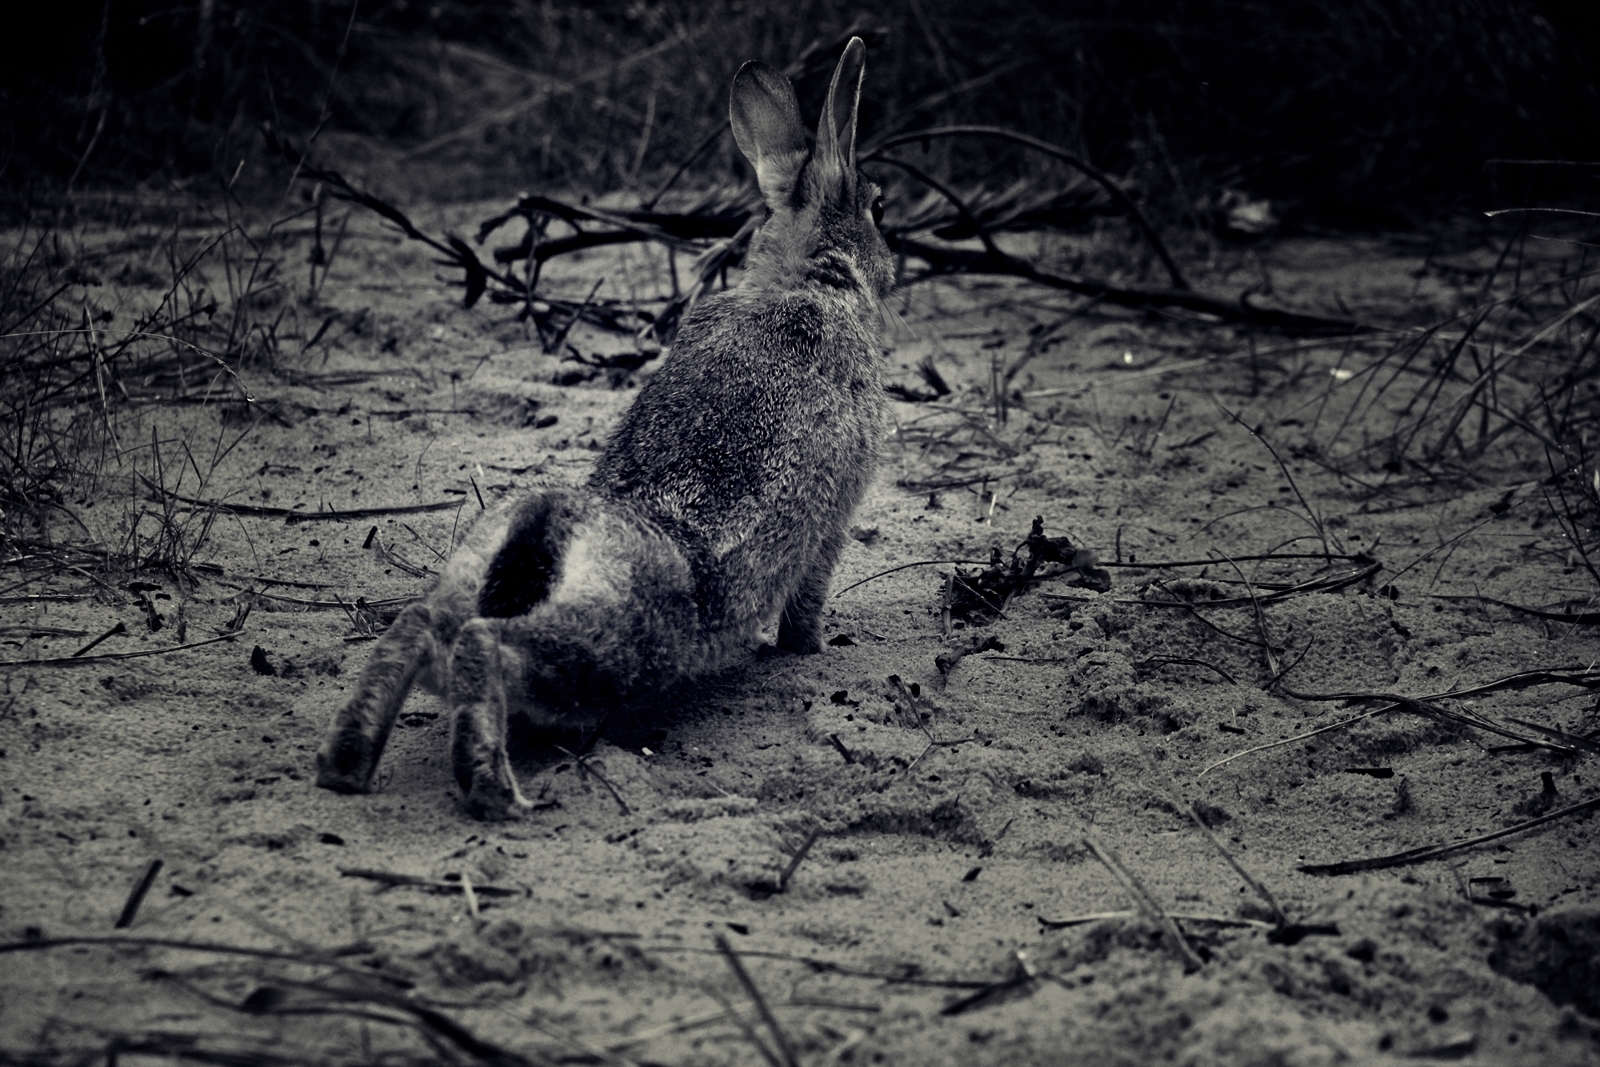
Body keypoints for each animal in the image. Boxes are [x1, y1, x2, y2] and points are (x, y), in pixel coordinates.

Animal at [318, 33, 896, 819]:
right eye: (878, 207)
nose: (891, 271)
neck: (810, 274)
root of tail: (548, 527)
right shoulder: (833, 521)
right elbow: (806, 601)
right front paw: (811, 652)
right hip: (613, 651)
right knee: (485, 647)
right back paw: (495, 792)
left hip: (469, 586)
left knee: (411, 632)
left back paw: (344, 766)